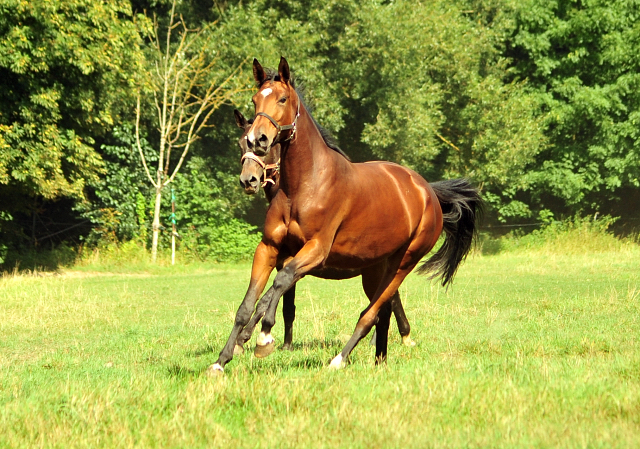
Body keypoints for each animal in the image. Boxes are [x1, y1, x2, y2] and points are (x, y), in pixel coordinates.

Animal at [232, 108, 418, 354]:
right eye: (241, 144)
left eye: (268, 147)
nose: (248, 180)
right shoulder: (285, 261)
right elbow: (285, 305)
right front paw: (285, 344)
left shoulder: (300, 262)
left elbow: (266, 299)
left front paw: (245, 338)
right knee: (388, 298)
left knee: (388, 297)